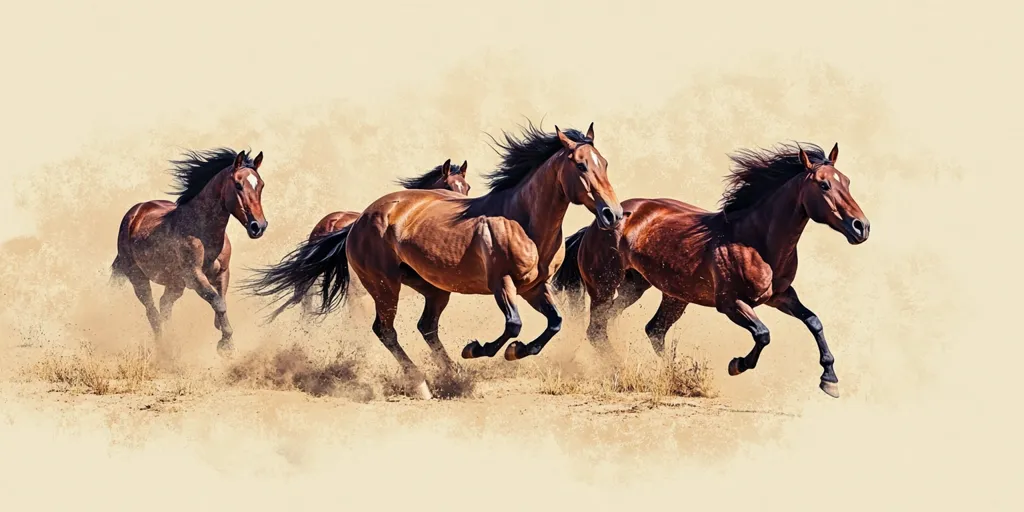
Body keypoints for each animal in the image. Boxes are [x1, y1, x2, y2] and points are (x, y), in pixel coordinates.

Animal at [110, 148, 268, 357]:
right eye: (238, 185)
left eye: (261, 185)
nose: (258, 226)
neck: (202, 230)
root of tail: (134, 213)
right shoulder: (194, 276)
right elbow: (217, 302)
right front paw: (226, 345)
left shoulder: (222, 272)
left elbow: (222, 300)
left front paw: (222, 332)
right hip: (139, 278)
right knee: (152, 312)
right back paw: (165, 348)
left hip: (175, 284)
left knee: (164, 305)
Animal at [552, 142, 870, 398]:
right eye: (824, 185)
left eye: (847, 181)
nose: (861, 227)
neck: (755, 240)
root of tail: (597, 223)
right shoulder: (730, 303)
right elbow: (763, 334)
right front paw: (737, 365)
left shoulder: (780, 296)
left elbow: (814, 321)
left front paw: (830, 380)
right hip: (605, 285)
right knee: (598, 328)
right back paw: (622, 370)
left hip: (652, 290)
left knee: (648, 328)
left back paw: (673, 377)